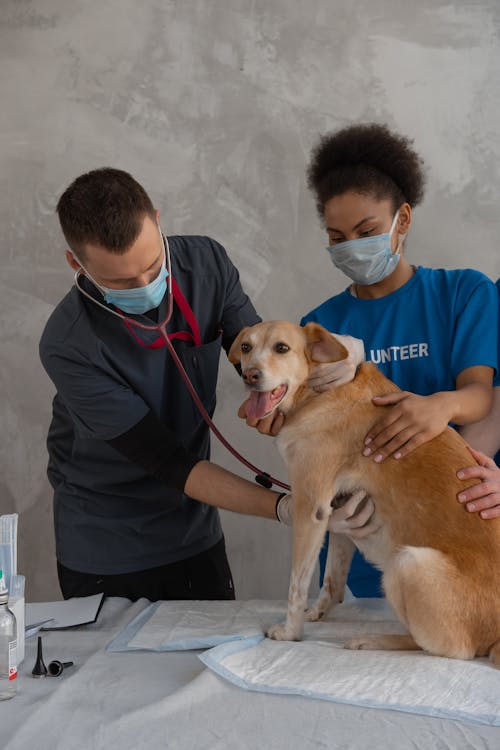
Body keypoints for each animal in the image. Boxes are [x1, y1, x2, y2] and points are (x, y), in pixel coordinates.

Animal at [228, 320, 500, 668]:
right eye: (246, 347)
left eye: (282, 348)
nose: (250, 376)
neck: (316, 394)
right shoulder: (339, 512)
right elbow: (332, 580)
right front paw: (317, 612)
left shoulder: (310, 508)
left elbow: (296, 585)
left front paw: (290, 632)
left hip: (407, 562)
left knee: (452, 649)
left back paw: (374, 639)